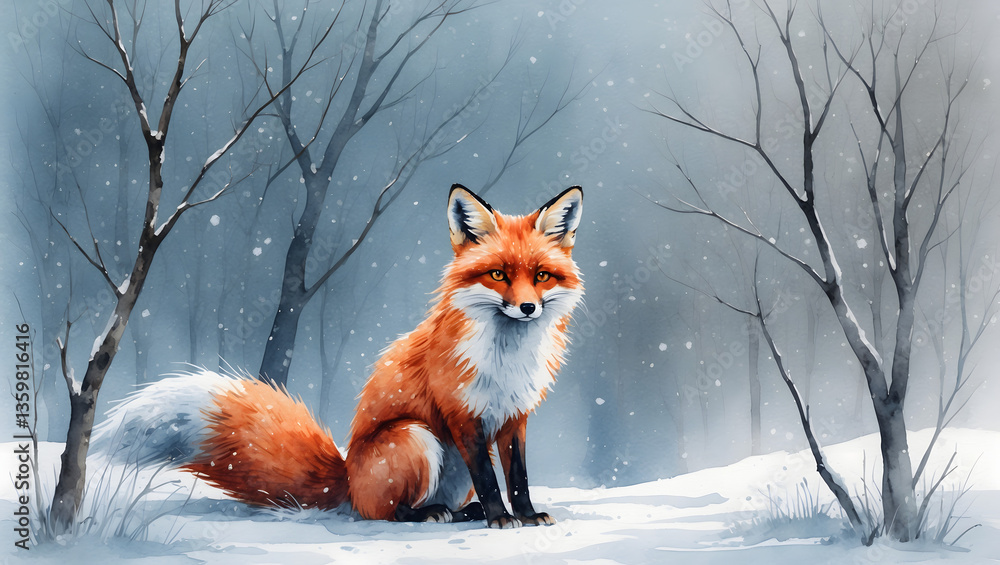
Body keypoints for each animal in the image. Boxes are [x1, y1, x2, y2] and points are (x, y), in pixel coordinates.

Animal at [92, 184, 584, 529]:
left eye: (541, 276)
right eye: (498, 274)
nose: (527, 308)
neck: (508, 359)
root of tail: (345, 476)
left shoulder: (515, 415)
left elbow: (518, 476)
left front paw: (526, 515)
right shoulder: (462, 416)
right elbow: (489, 478)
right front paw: (502, 518)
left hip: (446, 466)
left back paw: (462, 512)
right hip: (416, 436)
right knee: (383, 511)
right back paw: (429, 514)